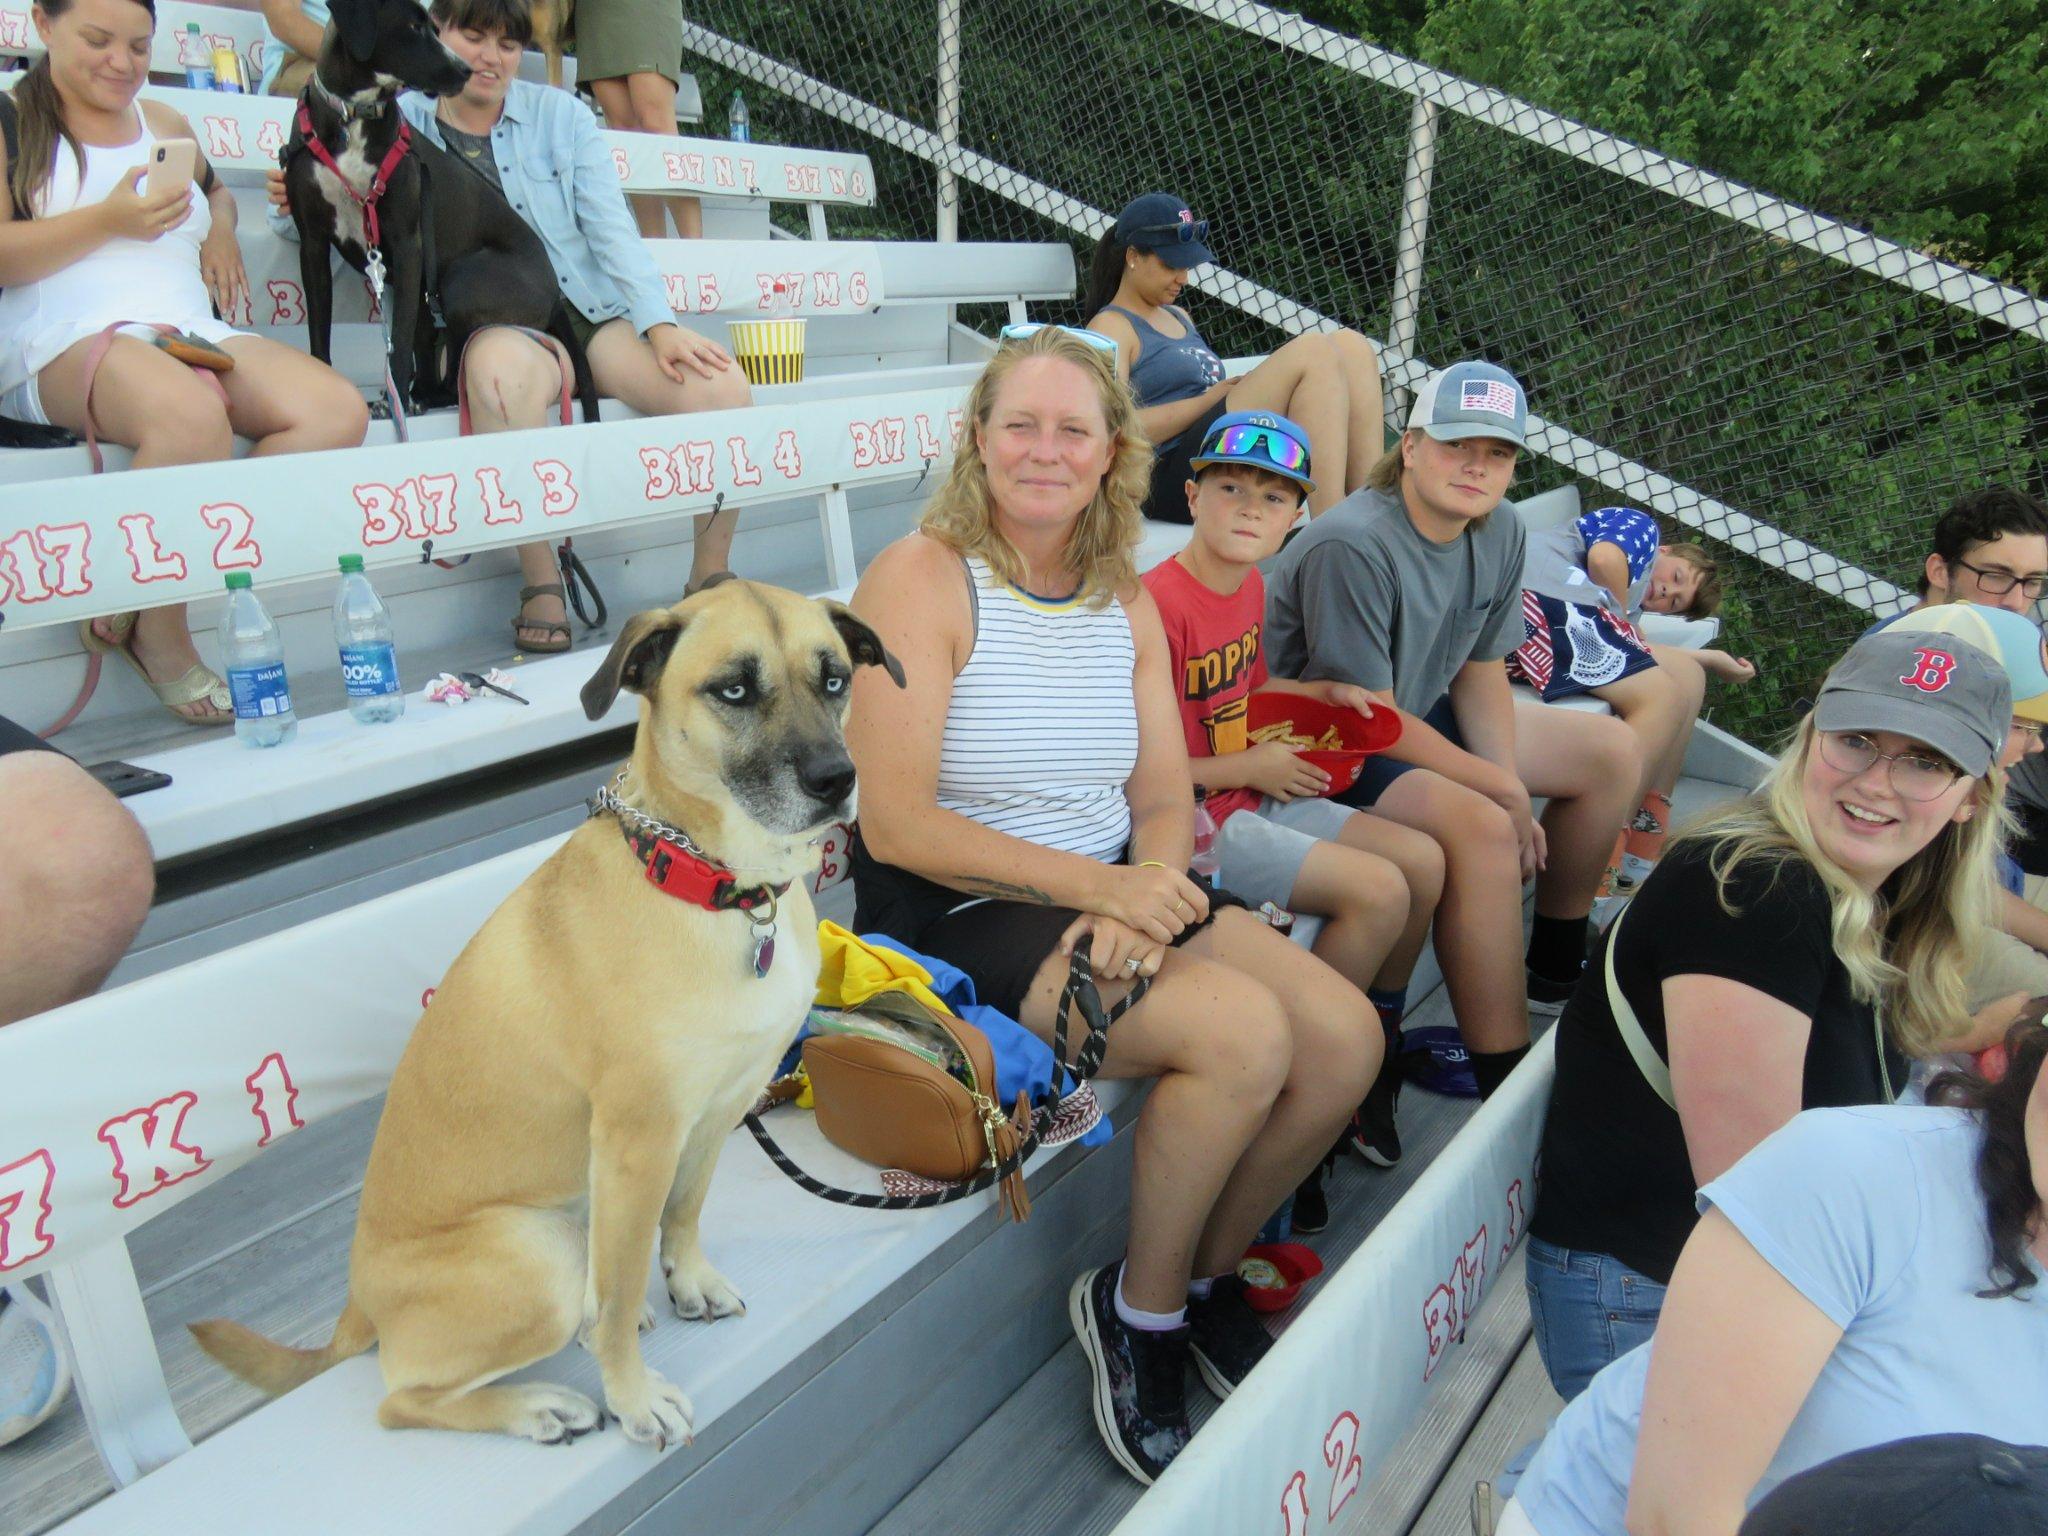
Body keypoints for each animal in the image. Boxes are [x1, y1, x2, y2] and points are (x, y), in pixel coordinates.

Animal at [190, 581, 905, 1458]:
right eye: (733, 690)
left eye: (834, 678)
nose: (837, 779)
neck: (723, 890)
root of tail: (357, 1307)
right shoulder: (638, 1139)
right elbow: (628, 1284)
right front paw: (633, 1397)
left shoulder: (718, 1108)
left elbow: (685, 1211)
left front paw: (688, 1280)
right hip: (539, 1253)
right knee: (401, 1400)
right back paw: (539, 1404)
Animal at [284, 0, 598, 417]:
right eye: (415, 27)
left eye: (434, 27)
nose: (465, 70)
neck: (353, 117)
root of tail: (554, 293)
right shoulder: (313, 245)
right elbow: (321, 333)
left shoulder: (406, 245)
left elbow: (399, 342)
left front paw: (396, 401)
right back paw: (422, 392)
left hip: (461, 280)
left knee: (454, 368)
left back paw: (422, 396)